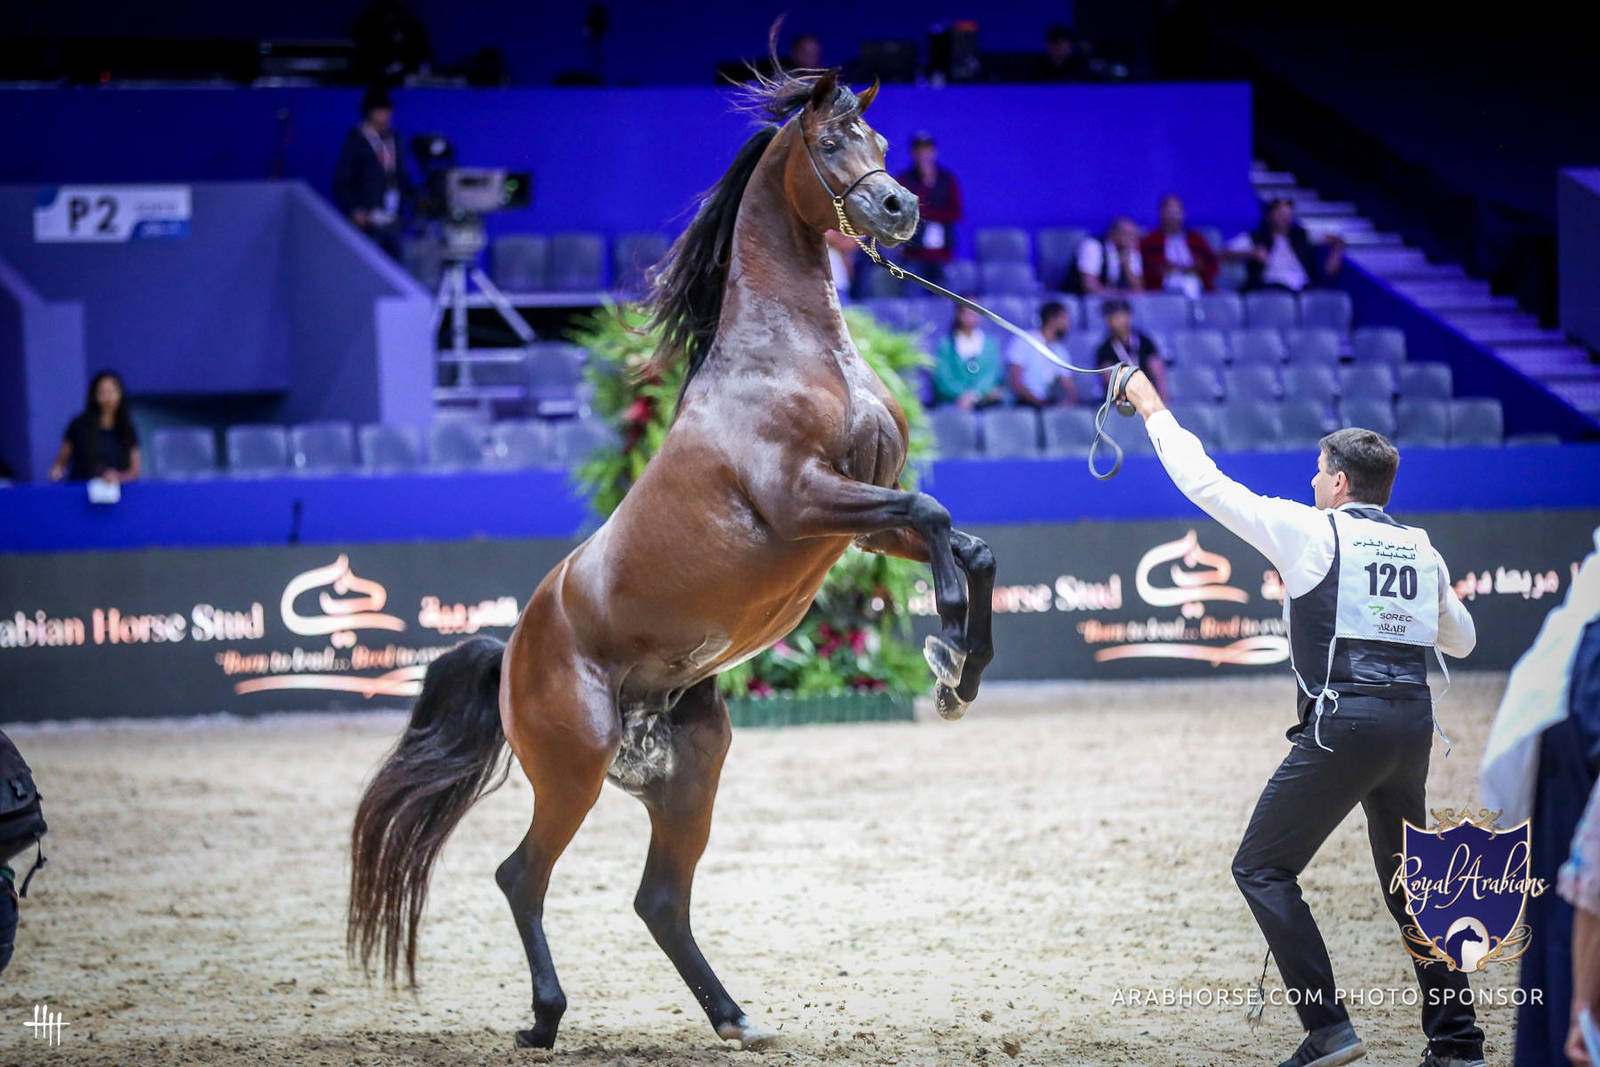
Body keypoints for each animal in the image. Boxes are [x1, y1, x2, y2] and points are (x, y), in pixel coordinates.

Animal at [347, 67, 997, 1052]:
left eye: (881, 139)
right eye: (831, 141)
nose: (900, 205)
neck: (785, 355)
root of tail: (512, 648)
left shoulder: (855, 522)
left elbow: (964, 541)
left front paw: (966, 666)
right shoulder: (807, 502)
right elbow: (937, 516)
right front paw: (950, 651)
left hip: (690, 771)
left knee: (658, 898)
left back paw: (736, 1017)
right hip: (573, 769)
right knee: (521, 876)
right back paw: (544, 1020)